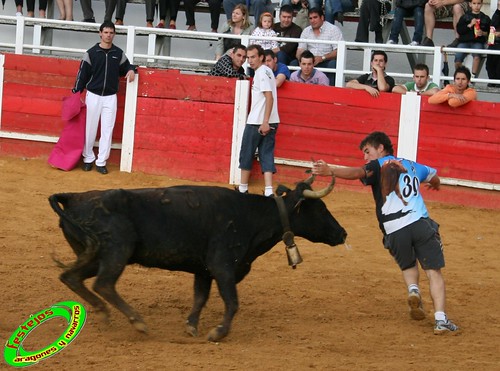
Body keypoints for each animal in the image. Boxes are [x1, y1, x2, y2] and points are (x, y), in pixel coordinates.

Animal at [49, 177, 348, 342]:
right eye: (321, 208)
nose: (343, 233)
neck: (252, 217)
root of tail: (74, 198)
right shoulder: (223, 266)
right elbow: (232, 302)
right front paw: (218, 332)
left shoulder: (204, 270)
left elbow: (200, 297)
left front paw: (191, 326)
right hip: (116, 251)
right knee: (104, 284)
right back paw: (137, 321)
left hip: (92, 255)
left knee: (71, 277)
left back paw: (102, 312)